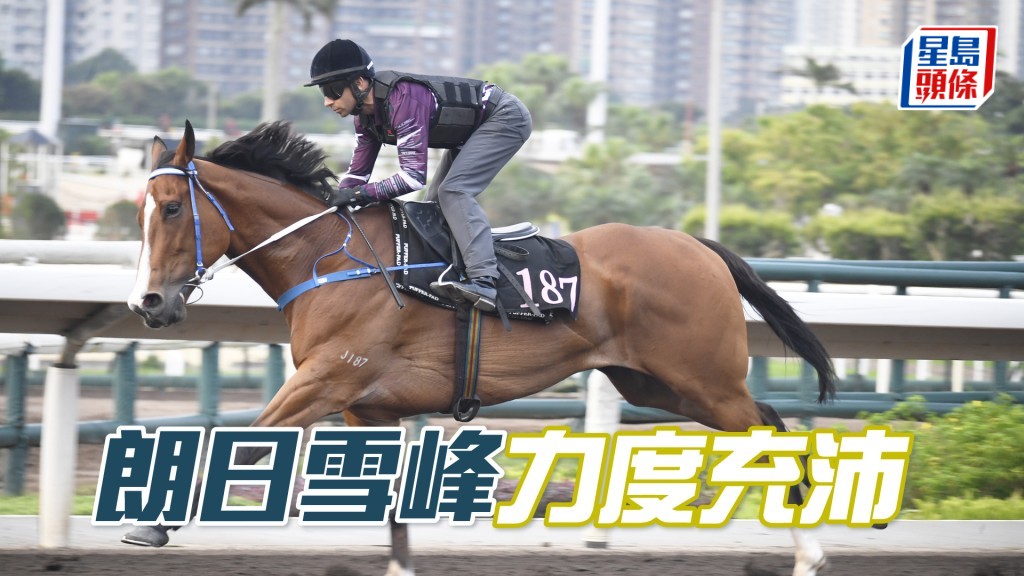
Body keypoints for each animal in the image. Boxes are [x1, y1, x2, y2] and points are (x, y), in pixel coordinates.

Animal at [124, 120, 835, 576]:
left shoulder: (326, 380)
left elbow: (242, 443)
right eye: (140, 211)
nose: (149, 303)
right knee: (768, 423)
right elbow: (392, 498)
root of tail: (700, 247)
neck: (331, 257)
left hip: (702, 378)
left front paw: (151, 524)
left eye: (169, 208)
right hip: (658, 385)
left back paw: (809, 553)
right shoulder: (367, 406)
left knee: (769, 434)